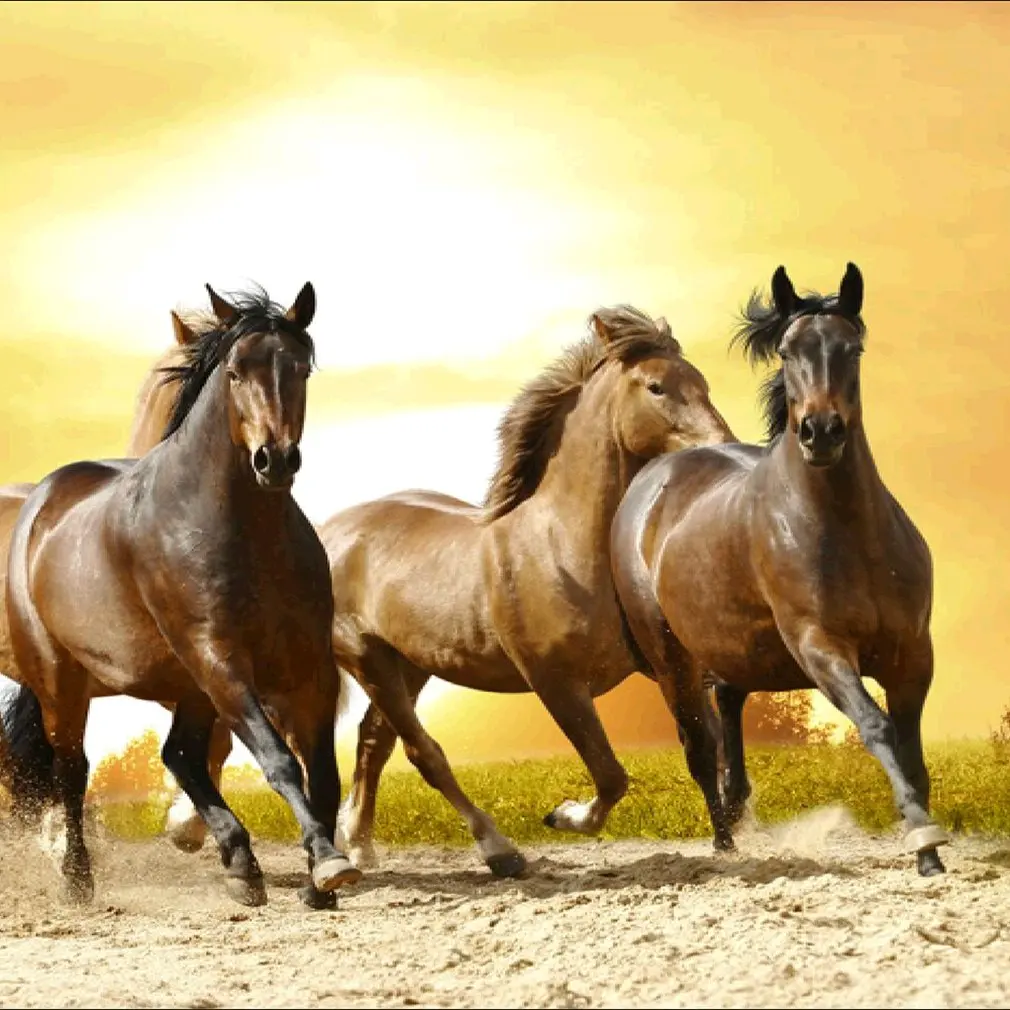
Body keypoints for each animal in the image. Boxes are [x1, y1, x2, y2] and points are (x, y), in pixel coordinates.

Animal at [4, 283, 362, 906]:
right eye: (236, 372)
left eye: (300, 368)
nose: (274, 460)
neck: (242, 530)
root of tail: (40, 503)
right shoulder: (220, 658)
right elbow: (279, 760)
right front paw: (328, 862)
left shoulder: (307, 666)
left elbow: (322, 772)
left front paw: (320, 879)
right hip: (63, 682)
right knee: (72, 770)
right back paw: (78, 879)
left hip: (187, 684)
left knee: (180, 755)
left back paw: (240, 864)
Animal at [322, 306, 734, 874]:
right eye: (656, 387)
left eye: (703, 382)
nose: (722, 447)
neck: (560, 545)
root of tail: (326, 532)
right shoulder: (555, 682)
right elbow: (611, 775)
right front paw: (562, 815)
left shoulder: (668, 665)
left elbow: (703, 745)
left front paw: (731, 837)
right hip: (369, 660)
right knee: (423, 752)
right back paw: (499, 851)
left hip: (410, 664)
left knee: (372, 742)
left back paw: (359, 845)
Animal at [610, 263, 949, 875]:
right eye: (789, 351)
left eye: (853, 348)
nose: (821, 432)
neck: (847, 532)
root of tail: (653, 478)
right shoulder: (820, 646)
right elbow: (877, 727)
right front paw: (922, 836)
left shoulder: (913, 653)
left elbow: (912, 750)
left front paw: (930, 852)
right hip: (670, 656)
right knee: (699, 746)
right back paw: (725, 844)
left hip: (733, 646)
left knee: (728, 703)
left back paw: (737, 808)